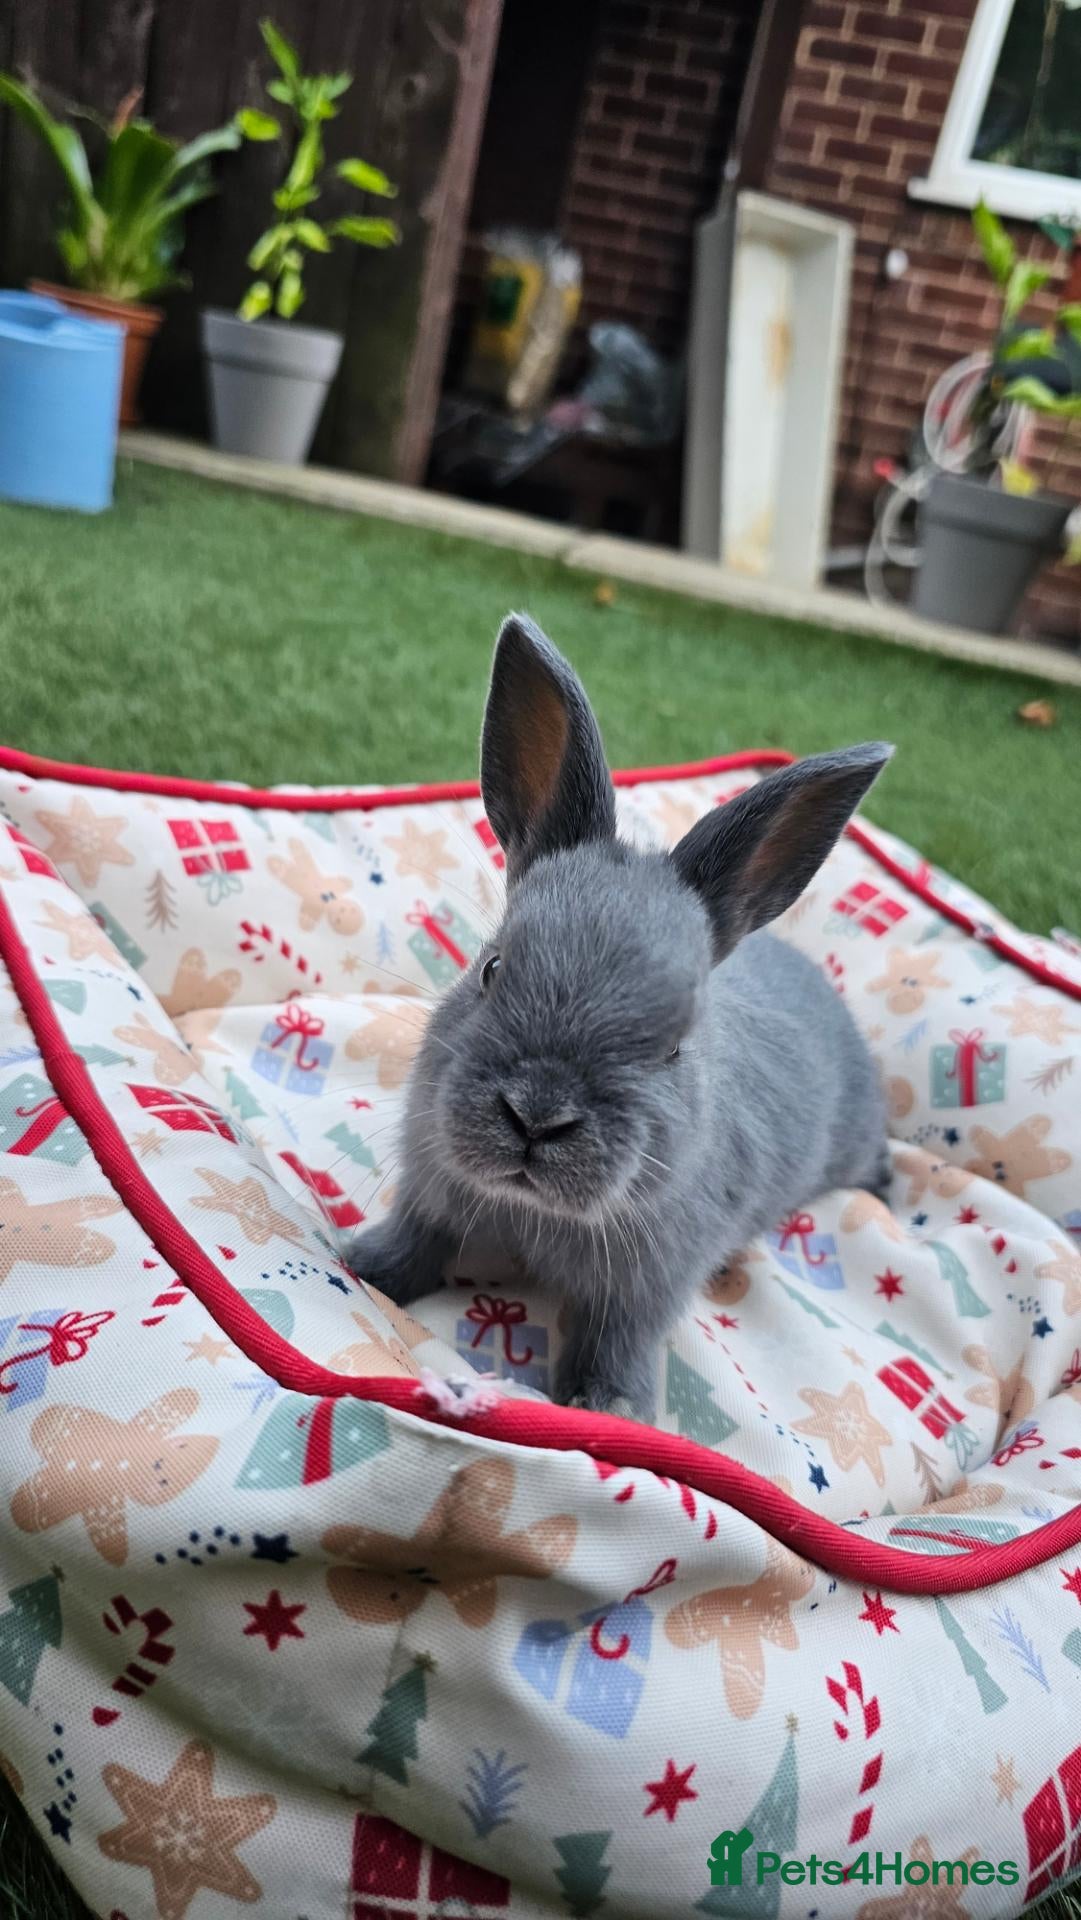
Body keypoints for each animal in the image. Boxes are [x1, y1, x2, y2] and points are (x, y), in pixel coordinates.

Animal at [345, 613, 893, 1421]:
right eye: (492, 969)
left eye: (676, 1045)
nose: (536, 1117)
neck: (532, 1210)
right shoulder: (431, 1192)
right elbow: (419, 1242)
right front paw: (364, 1266)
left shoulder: (646, 1285)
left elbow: (617, 1338)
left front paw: (606, 1408)